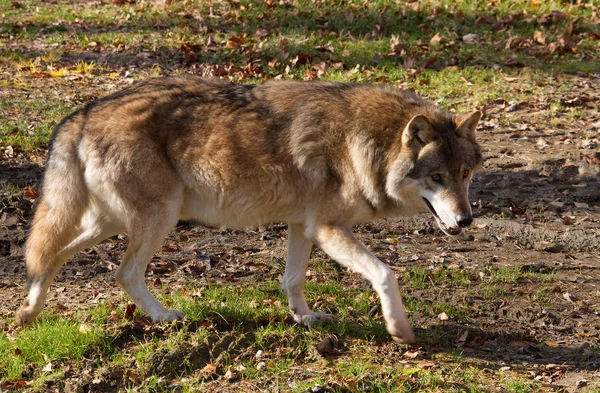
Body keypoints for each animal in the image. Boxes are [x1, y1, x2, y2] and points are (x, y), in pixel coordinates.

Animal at [15, 77, 482, 344]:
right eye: (436, 177)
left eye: (465, 174)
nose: (465, 220)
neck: (369, 144)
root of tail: (82, 112)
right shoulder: (329, 229)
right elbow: (386, 273)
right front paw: (399, 329)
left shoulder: (303, 225)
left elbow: (291, 279)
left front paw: (304, 318)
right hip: (159, 219)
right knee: (122, 272)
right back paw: (165, 318)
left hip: (111, 223)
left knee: (48, 256)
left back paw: (28, 313)